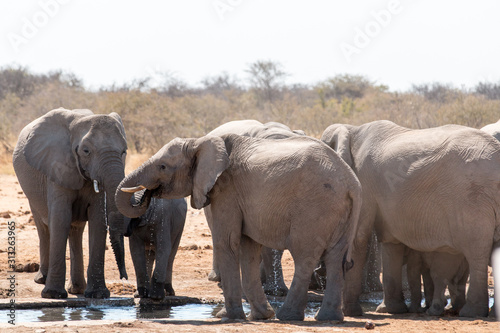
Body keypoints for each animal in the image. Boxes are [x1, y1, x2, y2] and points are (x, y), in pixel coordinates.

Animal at [13, 108, 128, 298]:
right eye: (86, 151)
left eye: (124, 151)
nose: (123, 277)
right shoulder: (56, 166)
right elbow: (61, 218)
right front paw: (53, 295)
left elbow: (98, 220)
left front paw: (98, 295)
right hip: (31, 192)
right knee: (44, 227)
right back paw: (42, 280)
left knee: (75, 230)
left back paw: (77, 289)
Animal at [320, 119, 500, 316]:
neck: (353, 130)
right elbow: (391, 242)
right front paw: (390, 310)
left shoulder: (363, 181)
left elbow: (359, 238)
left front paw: (350, 312)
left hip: (473, 200)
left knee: (476, 251)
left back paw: (470, 312)